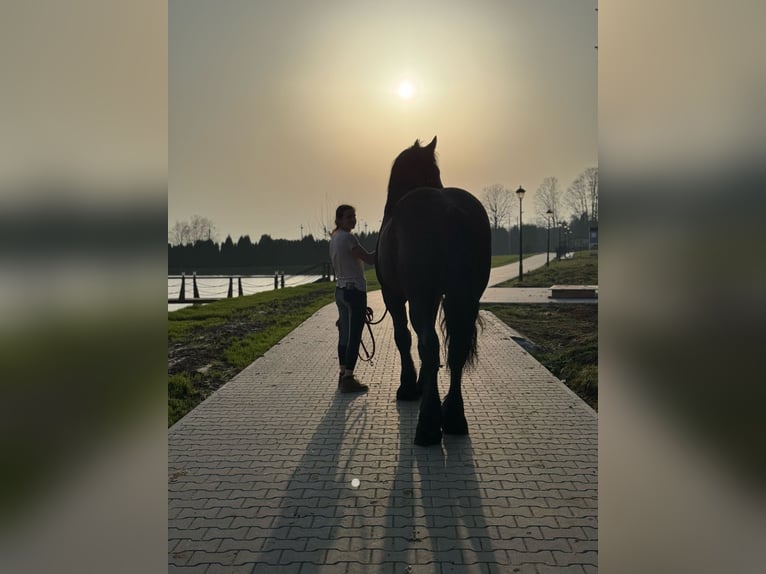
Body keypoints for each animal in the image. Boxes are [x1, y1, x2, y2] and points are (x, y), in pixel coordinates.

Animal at [376, 137, 492, 448]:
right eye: (436, 171)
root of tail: (450, 209)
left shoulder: (394, 296)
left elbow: (404, 338)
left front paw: (408, 386)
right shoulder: (437, 299)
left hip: (418, 298)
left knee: (429, 345)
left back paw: (428, 425)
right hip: (464, 298)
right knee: (456, 349)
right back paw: (453, 417)